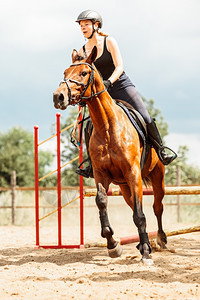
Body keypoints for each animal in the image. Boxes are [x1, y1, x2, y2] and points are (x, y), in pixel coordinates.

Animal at [53, 45, 167, 264]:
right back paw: (143, 243)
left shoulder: (133, 173)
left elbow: (140, 214)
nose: (58, 97)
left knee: (157, 206)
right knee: (133, 206)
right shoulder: (101, 174)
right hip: (124, 186)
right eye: (64, 72)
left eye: (84, 73)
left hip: (156, 176)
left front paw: (146, 253)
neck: (107, 126)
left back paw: (160, 240)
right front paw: (113, 244)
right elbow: (102, 201)